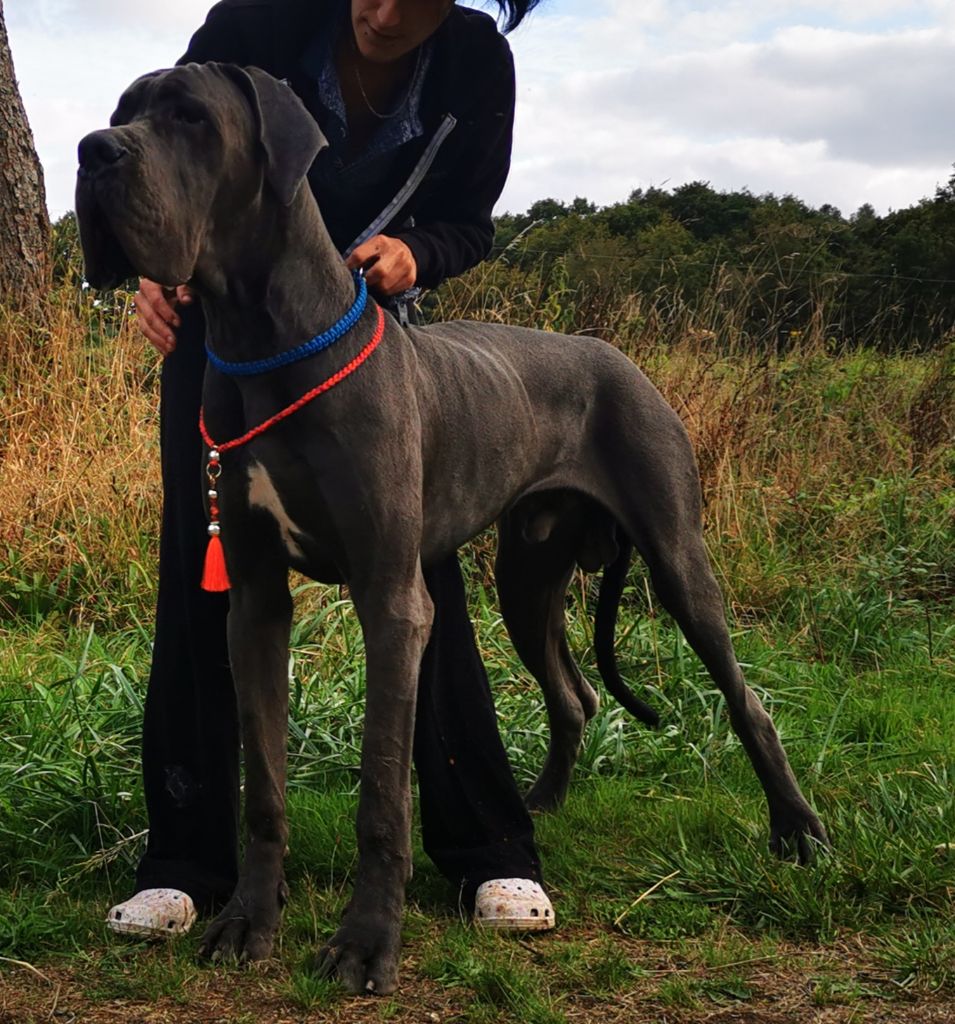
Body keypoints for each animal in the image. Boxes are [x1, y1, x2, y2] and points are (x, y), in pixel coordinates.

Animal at [76, 61, 827, 991]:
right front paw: (249, 920)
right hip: (525, 579)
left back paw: (797, 831)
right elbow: (264, 787)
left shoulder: (393, 600)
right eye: (122, 111)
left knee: (744, 697)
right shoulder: (251, 601)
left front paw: (366, 942)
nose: (92, 150)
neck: (261, 341)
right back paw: (541, 805)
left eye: (188, 118)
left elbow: (381, 799)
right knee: (575, 697)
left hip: (677, 557)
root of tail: (617, 356)